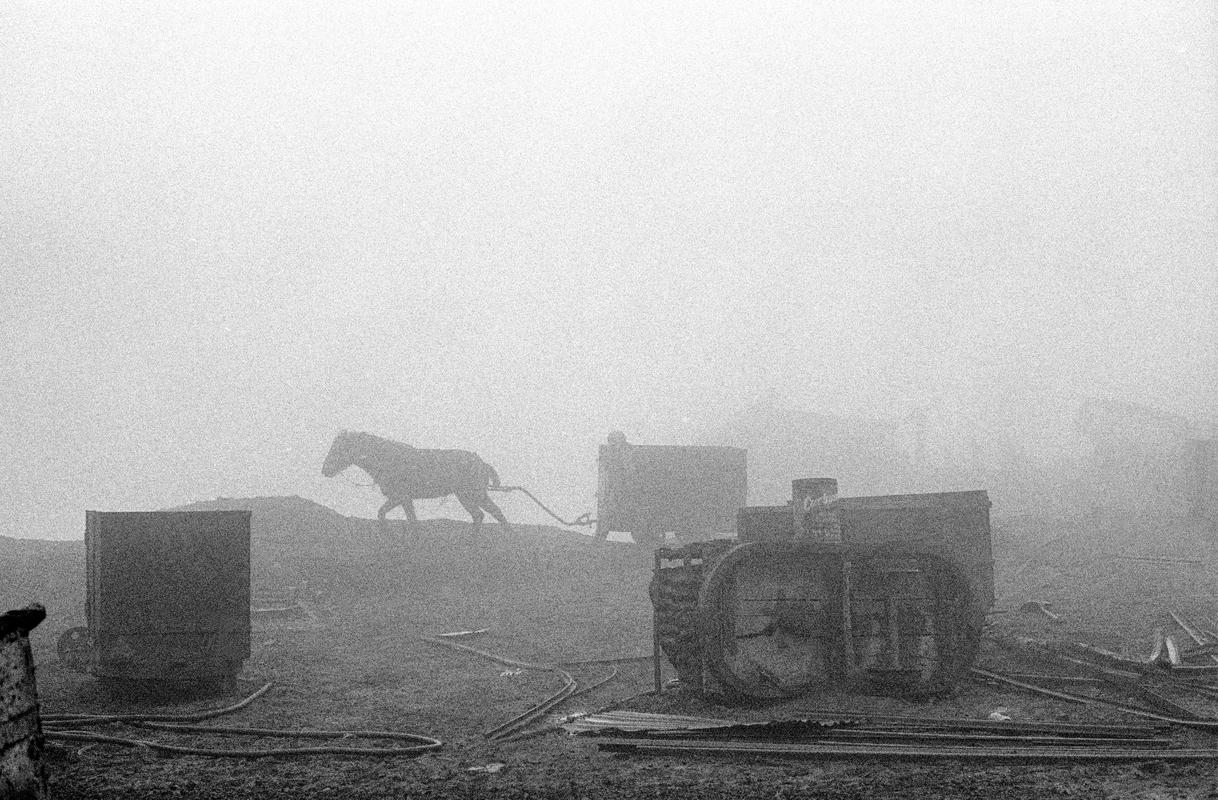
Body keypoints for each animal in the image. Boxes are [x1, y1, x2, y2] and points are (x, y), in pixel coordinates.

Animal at [321, 431, 511, 535]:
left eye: (338, 448)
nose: (324, 470)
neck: (386, 459)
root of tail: (482, 463)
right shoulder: (402, 499)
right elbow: (394, 516)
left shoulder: (401, 497)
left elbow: (405, 519)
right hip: (472, 496)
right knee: (487, 514)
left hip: (470, 496)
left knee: (487, 514)